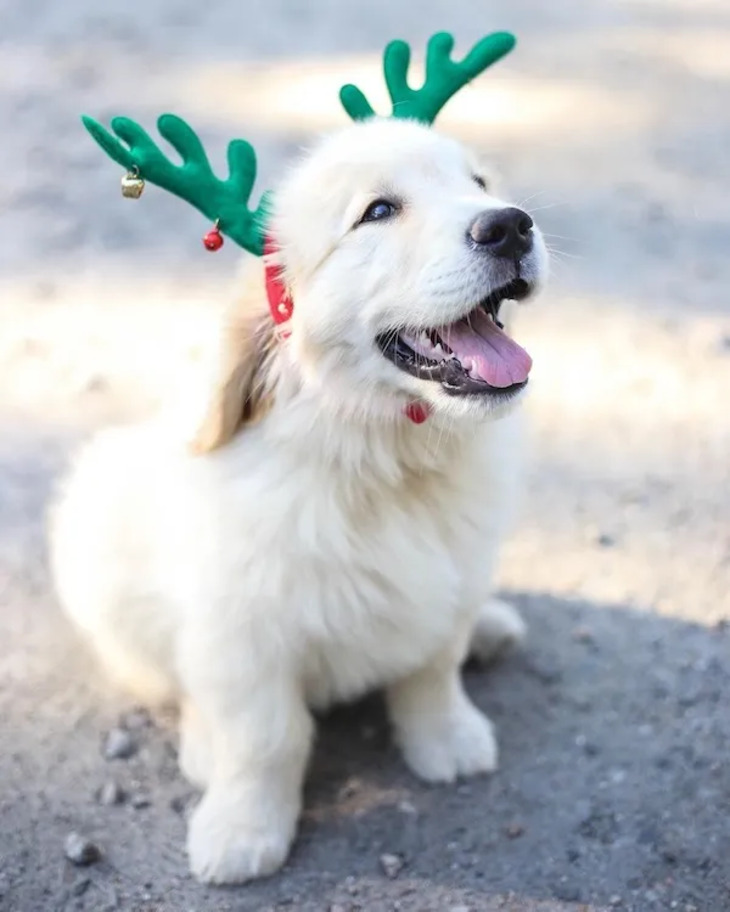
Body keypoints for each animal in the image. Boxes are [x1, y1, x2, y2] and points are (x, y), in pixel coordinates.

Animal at [47, 116, 544, 884]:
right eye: (378, 212)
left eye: (480, 183)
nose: (511, 225)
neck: (385, 460)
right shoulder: (244, 631)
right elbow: (266, 737)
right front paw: (243, 830)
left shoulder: (449, 578)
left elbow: (433, 668)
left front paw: (449, 739)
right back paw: (201, 746)